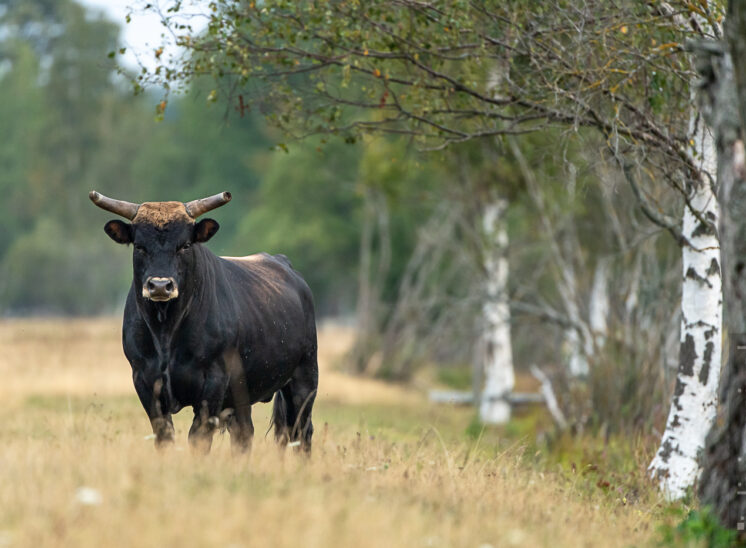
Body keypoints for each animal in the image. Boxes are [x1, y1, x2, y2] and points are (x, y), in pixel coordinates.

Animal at [89, 191, 316, 452]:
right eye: (139, 246)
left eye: (185, 245)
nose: (160, 285)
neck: (166, 332)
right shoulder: (144, 379)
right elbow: (164, 436)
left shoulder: (213, 382)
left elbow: (199, 438)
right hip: (244, 393)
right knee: (244, 433)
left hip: (304, 380)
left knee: (301, 433)